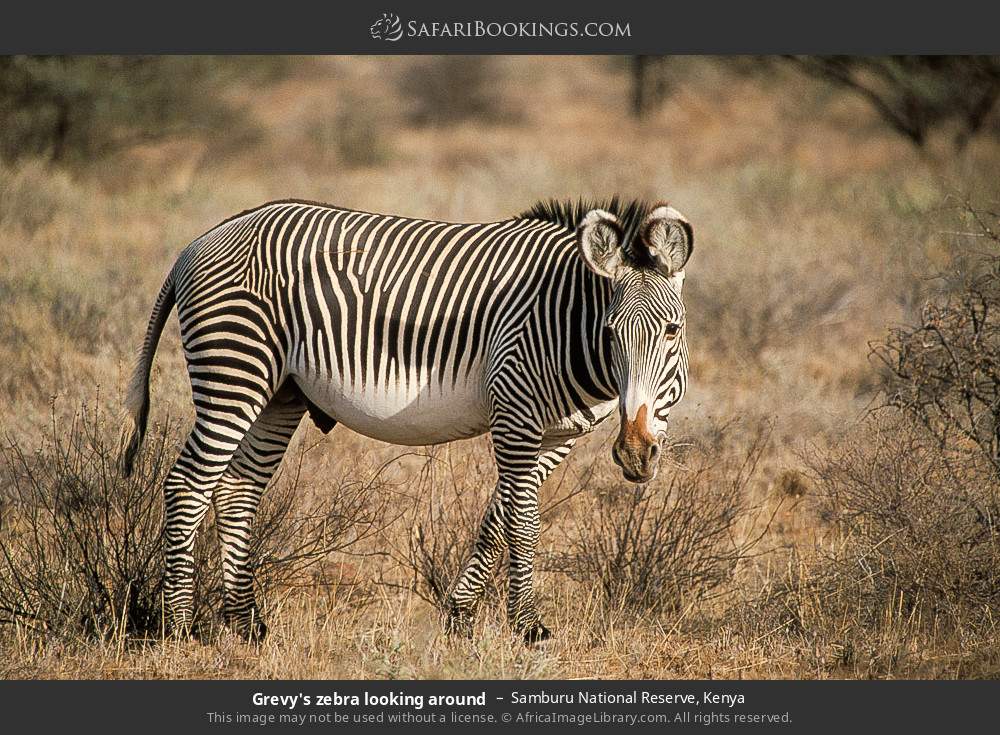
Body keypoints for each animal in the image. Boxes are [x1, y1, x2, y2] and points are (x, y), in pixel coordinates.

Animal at [121, 196, 692, 644]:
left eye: (672, 331)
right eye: (611, 332)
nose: (635, 453)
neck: (565, 320)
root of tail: (202, 240)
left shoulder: (556, 435)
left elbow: (497, 520)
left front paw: (459, 618)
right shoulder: (515, 413)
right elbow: (522, 523)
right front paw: (528, 628)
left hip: (280, 393)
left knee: (237, 489)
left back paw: (246, 624)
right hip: (234, 371)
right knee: (188, 484)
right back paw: (180, 626)